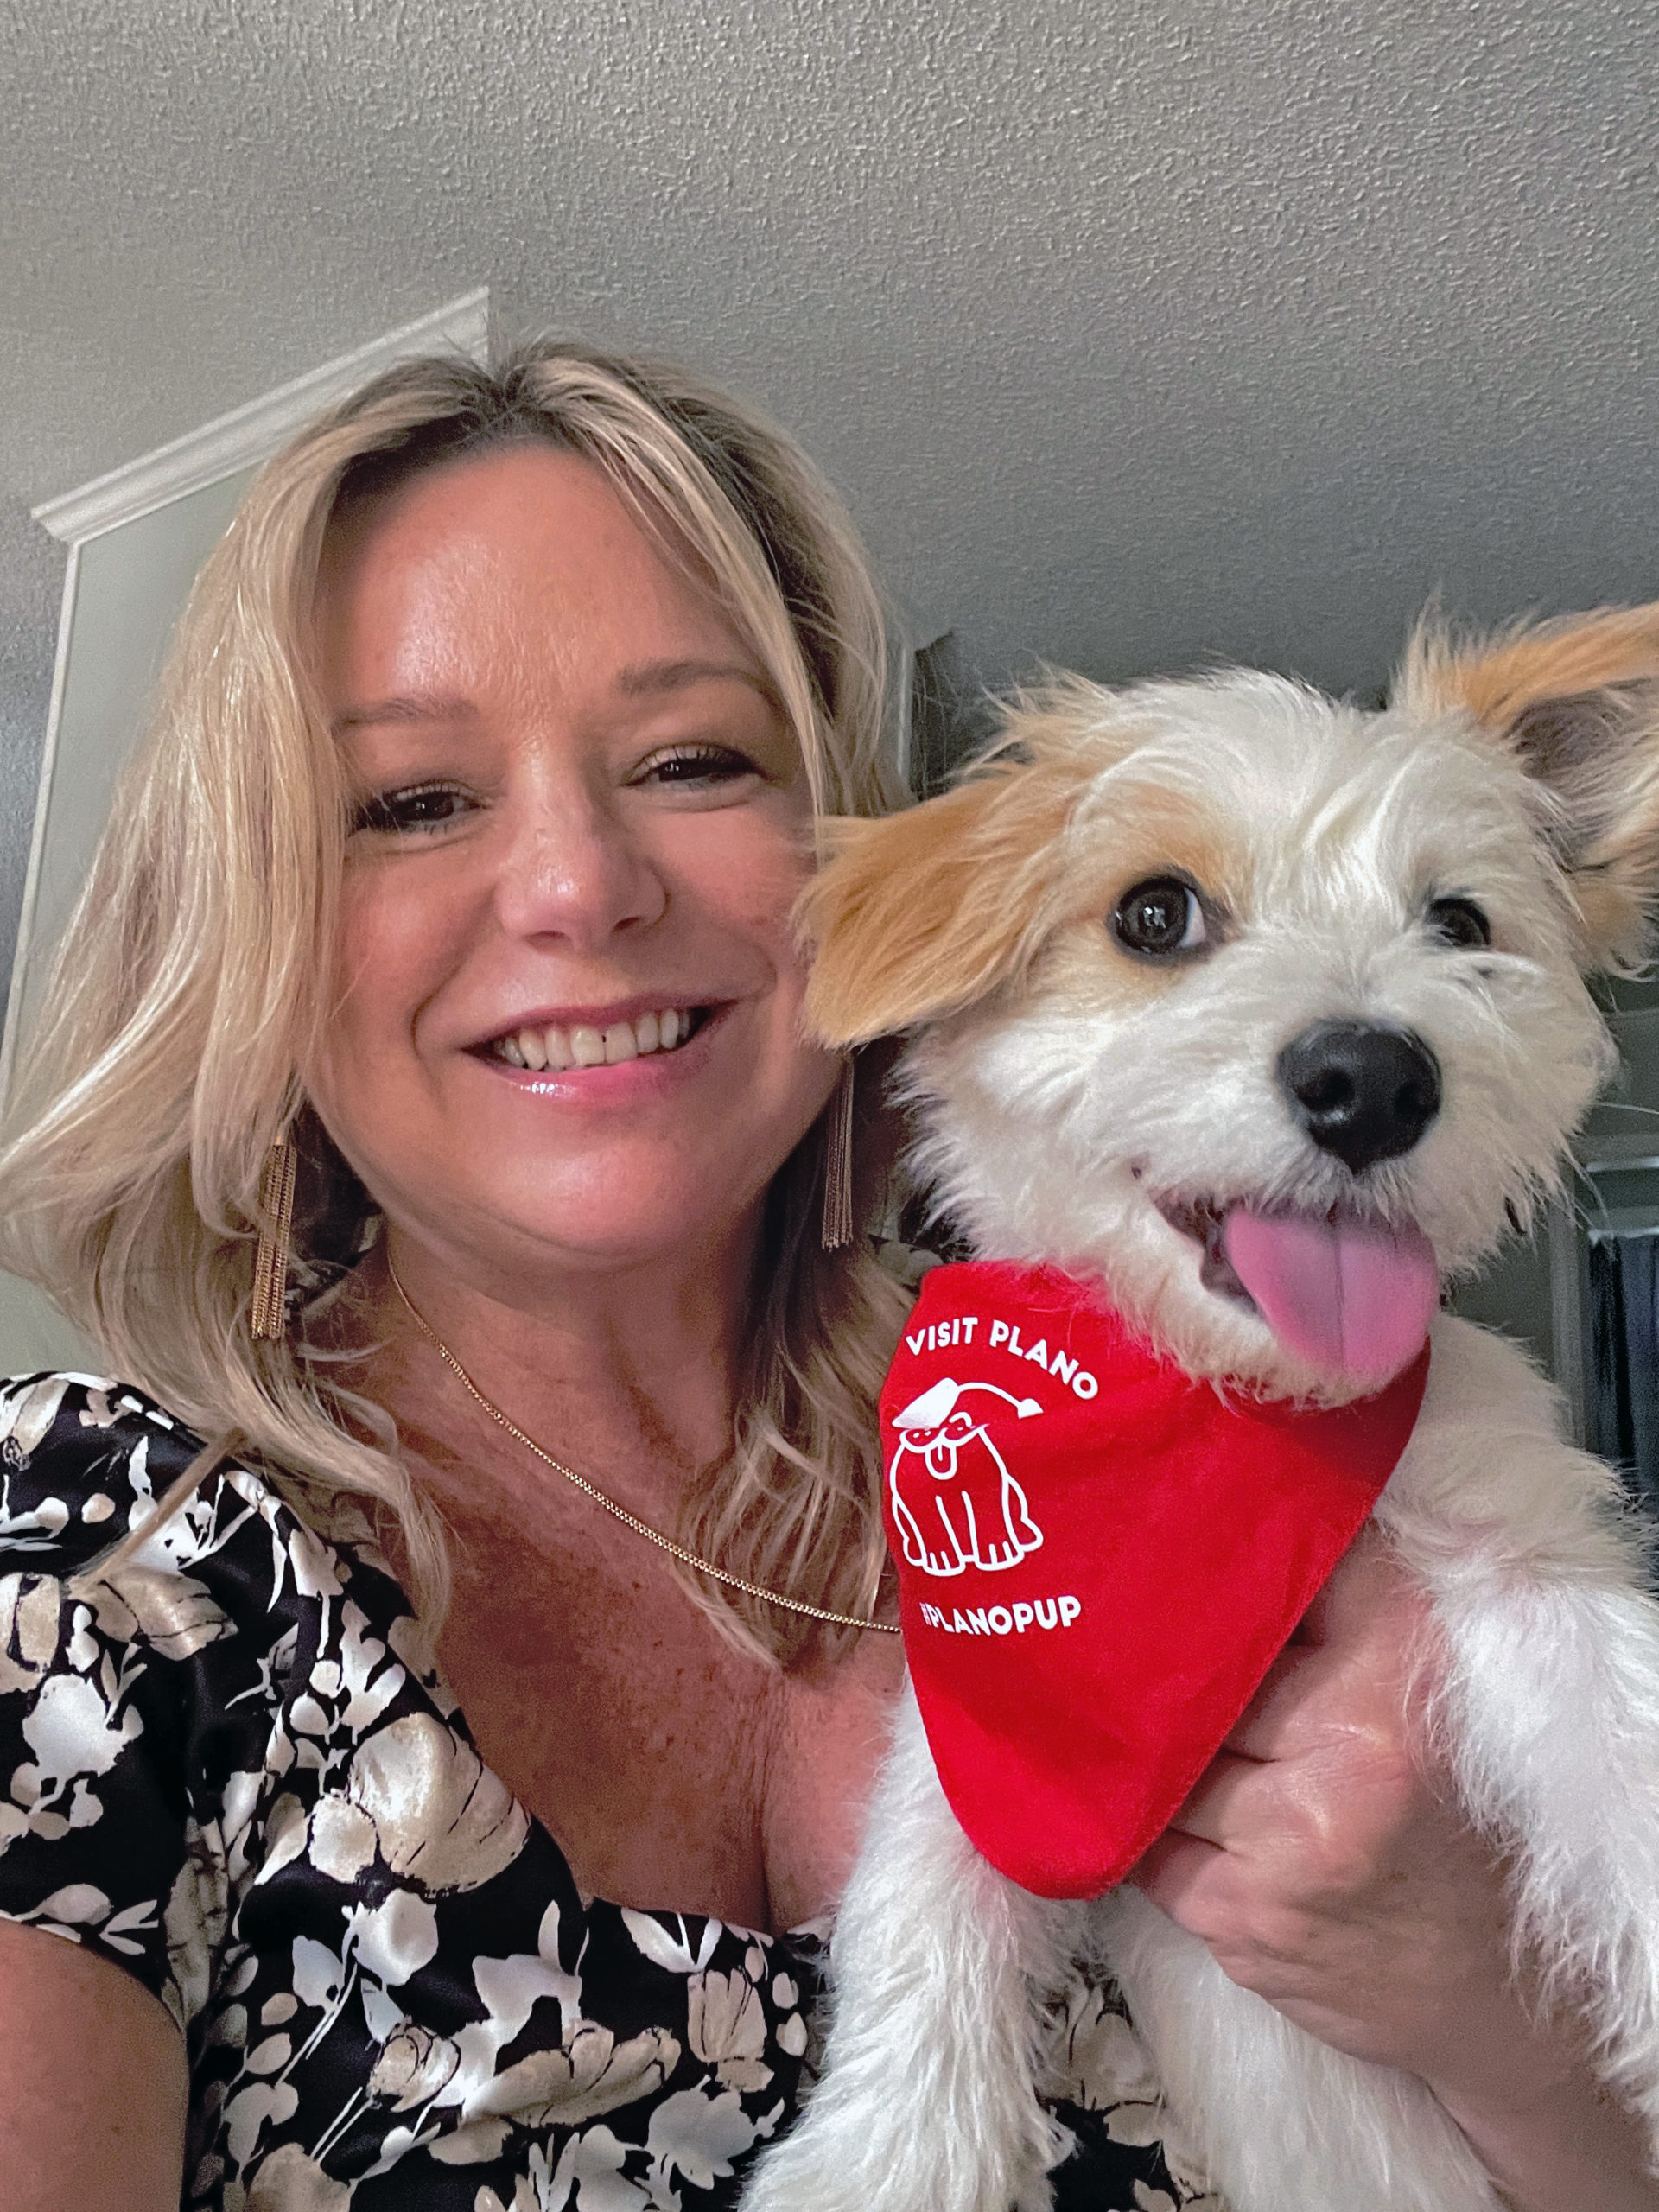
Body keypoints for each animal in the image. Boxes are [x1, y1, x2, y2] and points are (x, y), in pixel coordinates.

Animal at [747, 606, 1659, 2212]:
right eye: (1155, 917)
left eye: (1461, 925)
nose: (1373, 1075)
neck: (1237, 1409)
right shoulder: (999, 1702)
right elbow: (927, 1878)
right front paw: (890, 2152)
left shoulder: (1523, 1559)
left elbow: (1627, 1737)